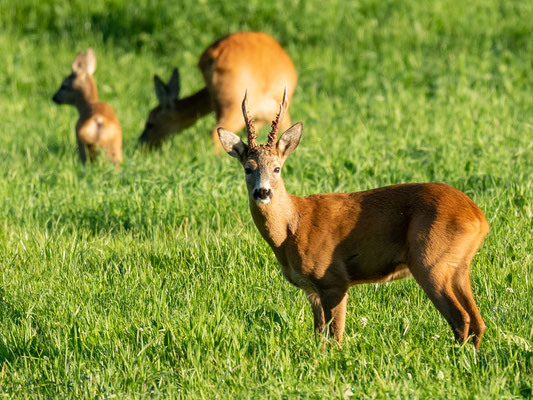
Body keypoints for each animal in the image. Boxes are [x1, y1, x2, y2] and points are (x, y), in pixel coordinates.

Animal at [215, 90, 486, 350]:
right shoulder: (312, 290)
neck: (292, 227)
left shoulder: (333, 279)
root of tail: (480, 218)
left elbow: (336, 337)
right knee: (478, 321)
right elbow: (319, 336)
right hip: (458, 266)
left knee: (461, 318)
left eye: (277, 168)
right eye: (248, 168)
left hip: (430, 259)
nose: (262, 192)